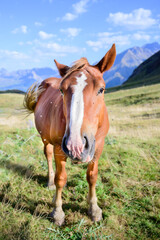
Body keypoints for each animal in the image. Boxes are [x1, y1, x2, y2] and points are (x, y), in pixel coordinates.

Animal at [23, 44, 116, 226]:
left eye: (101, 89)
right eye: (61, 90)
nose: (76, 145)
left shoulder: (98, 145)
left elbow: (92, 176)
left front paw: (94, 209)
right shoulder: (60, 148)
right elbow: (60, 178)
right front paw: (57, 212)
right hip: (46, 139)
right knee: (48, 156)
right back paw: (50, 182)